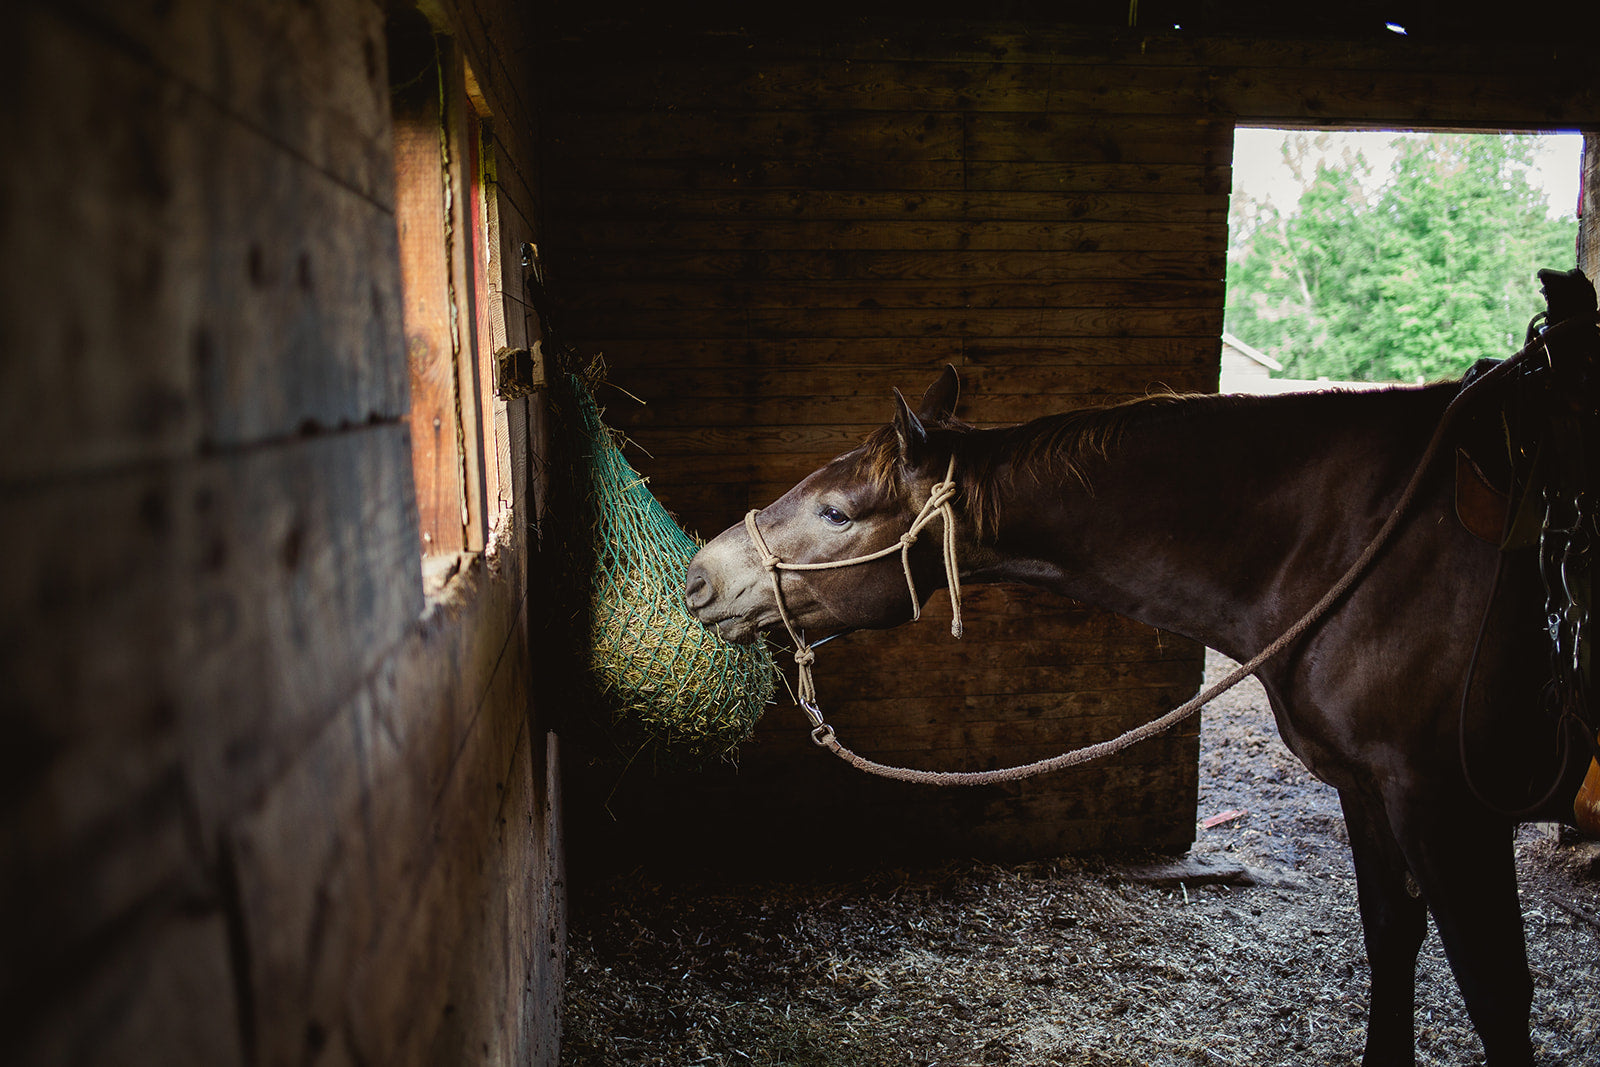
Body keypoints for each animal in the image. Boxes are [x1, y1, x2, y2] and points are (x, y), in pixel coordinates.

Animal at [683, 356, 1597, 1066]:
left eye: (837, 511)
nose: (699, 577)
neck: (1366, 538)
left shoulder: (1447, 806)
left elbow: (1495, 989)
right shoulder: (1368, 789)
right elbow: (1390, 940)